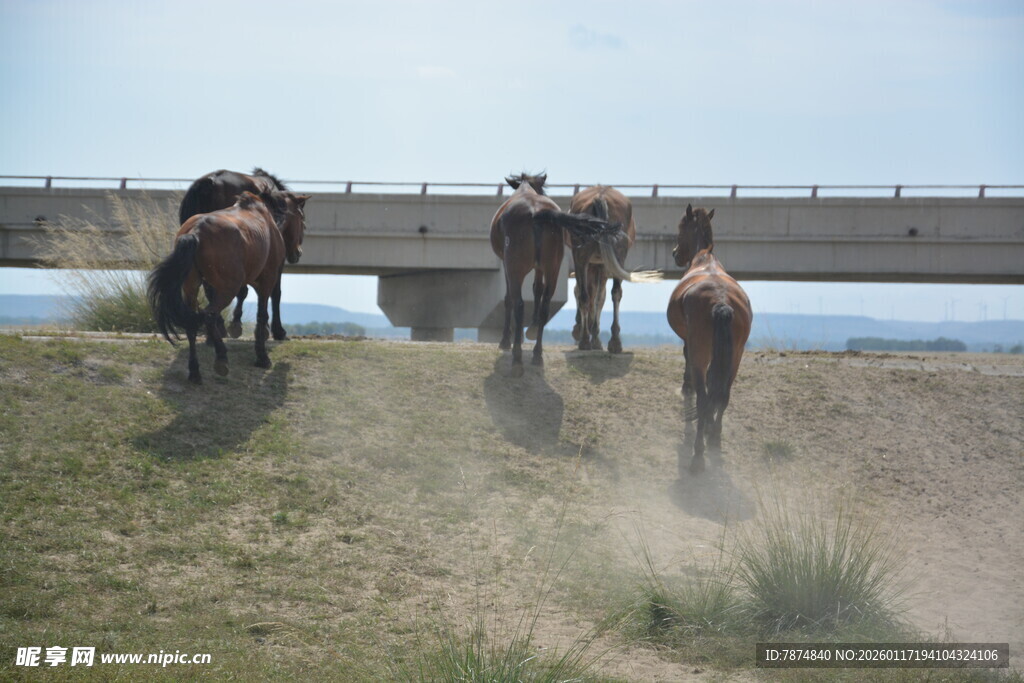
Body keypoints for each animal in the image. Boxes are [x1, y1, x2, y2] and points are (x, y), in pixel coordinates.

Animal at [148, 190, 310, 384]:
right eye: (302, 219)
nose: (297, 253)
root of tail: (196, 231)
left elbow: (244, 295)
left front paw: (236, 326)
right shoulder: (266, 279)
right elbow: (262, 313)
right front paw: (262, 356)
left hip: (191, 288)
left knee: (192, 323)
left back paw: (195, 371)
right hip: (227, 288)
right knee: (209, 315)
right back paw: (221, 357)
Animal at [489, 173, 626, 376]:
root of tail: (536, 213)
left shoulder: (507, 266)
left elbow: (509, 299)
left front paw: (506, 340)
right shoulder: (540, 268)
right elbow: (537, 290)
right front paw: (533, 327)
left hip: (516, 267)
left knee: (519, 303)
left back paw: (517, 358)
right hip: (553, 267)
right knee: (545, 305)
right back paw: (537, 355)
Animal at [567, 185, 659, 353]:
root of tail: (600, 196)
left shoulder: (598, 265)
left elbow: (595, 296)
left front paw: (591, 334)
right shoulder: (601, 265)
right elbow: (598, 297)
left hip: (584, 257)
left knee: (590, 295)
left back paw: (589, 340)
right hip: (615, 256)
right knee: (613, 293)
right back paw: (612, 341)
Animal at [667, 204, 752, 475]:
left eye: (681, 226)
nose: (675, 253)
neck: (704, 259)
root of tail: (720, 302)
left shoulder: (689, 343)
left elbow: (685, 358)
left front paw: (685, 386)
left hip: (702, 354)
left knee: (704, 399)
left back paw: (698, 456)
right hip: (735, 356)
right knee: (722, 396)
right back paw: (714, 438)